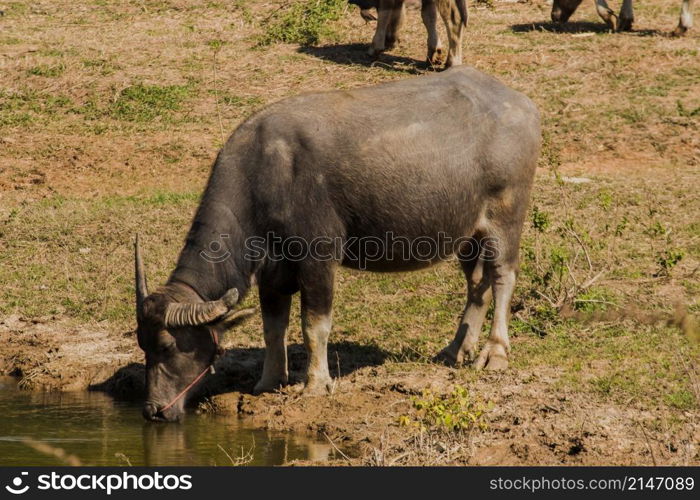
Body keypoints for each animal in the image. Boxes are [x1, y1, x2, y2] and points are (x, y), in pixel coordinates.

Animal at [135, 64, 540, 420]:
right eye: (143, 343)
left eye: (168, 346)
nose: (154, 410)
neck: (266, 174)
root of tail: (521, 103)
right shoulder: (271, 270)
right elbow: (273, 326)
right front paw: (269, 382)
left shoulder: (318, 258)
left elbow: (314, 325)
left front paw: (316, 384)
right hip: (468, 234)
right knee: (477, 283)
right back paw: (456, 349)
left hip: (505, 218)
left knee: (502, 276)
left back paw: (495, 353)